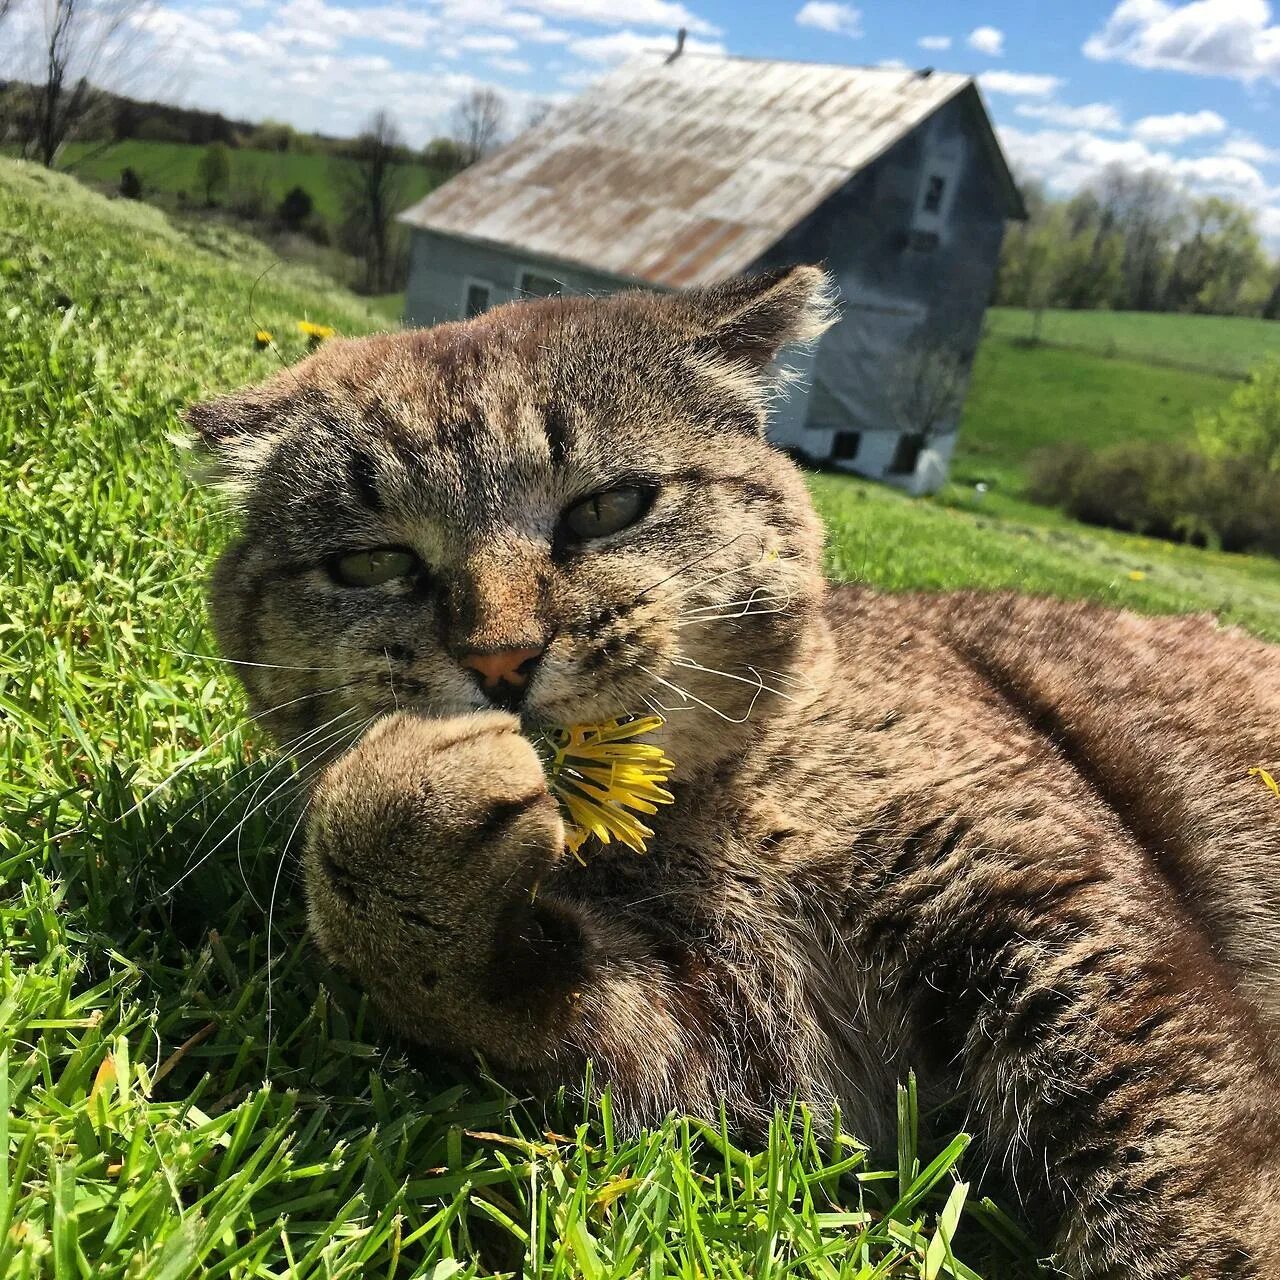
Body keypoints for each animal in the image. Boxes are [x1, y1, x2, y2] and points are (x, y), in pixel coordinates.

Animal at [186, 264, 1280, 1274]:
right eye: (372, 564)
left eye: (607, 508)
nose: (500, 661)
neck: (720, 808)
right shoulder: (762, 1047)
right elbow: (472, 985)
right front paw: (400, 818)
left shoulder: (1077, 926)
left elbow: (1189, 1161)